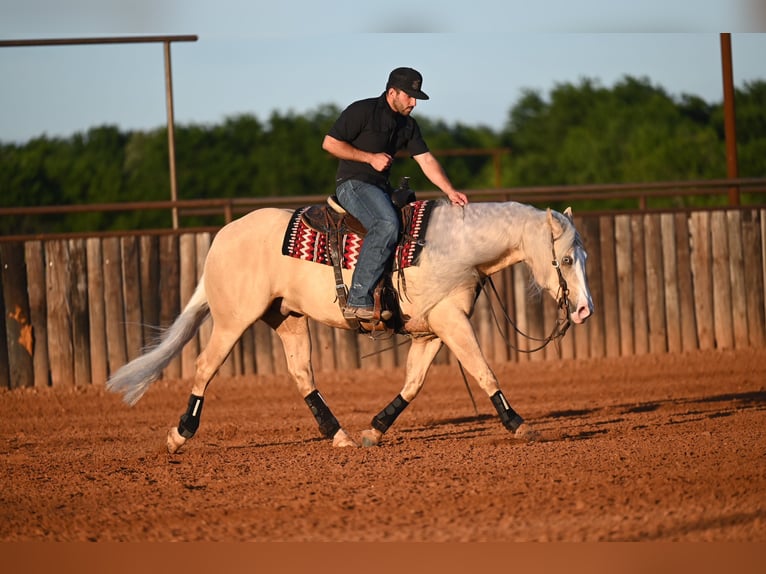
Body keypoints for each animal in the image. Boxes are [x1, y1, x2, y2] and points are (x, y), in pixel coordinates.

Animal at [106, 199, 593, 453]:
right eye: (567, 259)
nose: (584, 310)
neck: (455, 246)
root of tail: (221, 239)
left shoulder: (432, 328)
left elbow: (413, 384)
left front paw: (373, 429)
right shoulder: (450, 322)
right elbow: (483, 371)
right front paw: (518, 424)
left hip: (288, 319)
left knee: (302, 375)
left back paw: (338, 434)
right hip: (232, 320)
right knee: (205, 367)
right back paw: (179, 435)